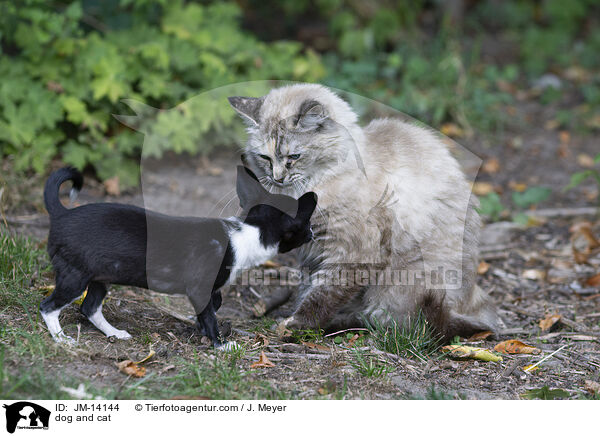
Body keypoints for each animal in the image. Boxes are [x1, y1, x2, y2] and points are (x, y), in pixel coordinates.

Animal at [39, 165, 316, 350]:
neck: (249, 231)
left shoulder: (208, 290)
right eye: (307, 224)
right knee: (48, 307)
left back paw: (114, 333)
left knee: (90, 307)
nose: (313, 233)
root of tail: (61, 213)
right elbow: (210, 314)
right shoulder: (199, 287)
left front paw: (199, 326)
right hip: (75, 279)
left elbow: (214, 304)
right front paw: (220, 344)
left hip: (99, 278)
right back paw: (61, 339)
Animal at [227, 83, 500, 338]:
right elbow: (308, 288)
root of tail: (471, 308)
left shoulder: (352, 253)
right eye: (265, 158)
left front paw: (296, 326)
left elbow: (322, 295)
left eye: (294, 156)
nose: (277, 178)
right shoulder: (313, 253)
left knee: (397, 323)